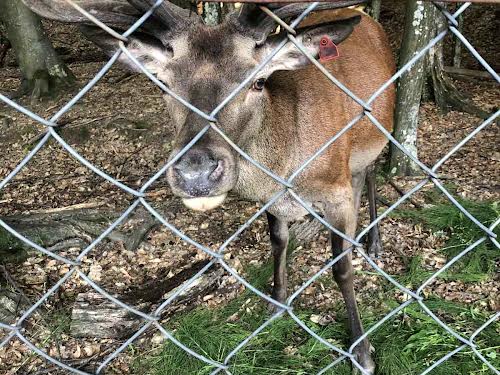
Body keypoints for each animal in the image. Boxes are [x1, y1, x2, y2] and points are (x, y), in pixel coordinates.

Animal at [24, 2, 394, 374]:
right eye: (163, 85)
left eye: (259, 81)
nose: (197, 172)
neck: (286, 169)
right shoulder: (271, 201)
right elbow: (278, 242)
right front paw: (276, 304)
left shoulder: (334, 189)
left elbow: (341, 268)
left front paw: (362, 352)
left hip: (377, 134)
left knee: (370, 173)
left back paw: (374, 243)